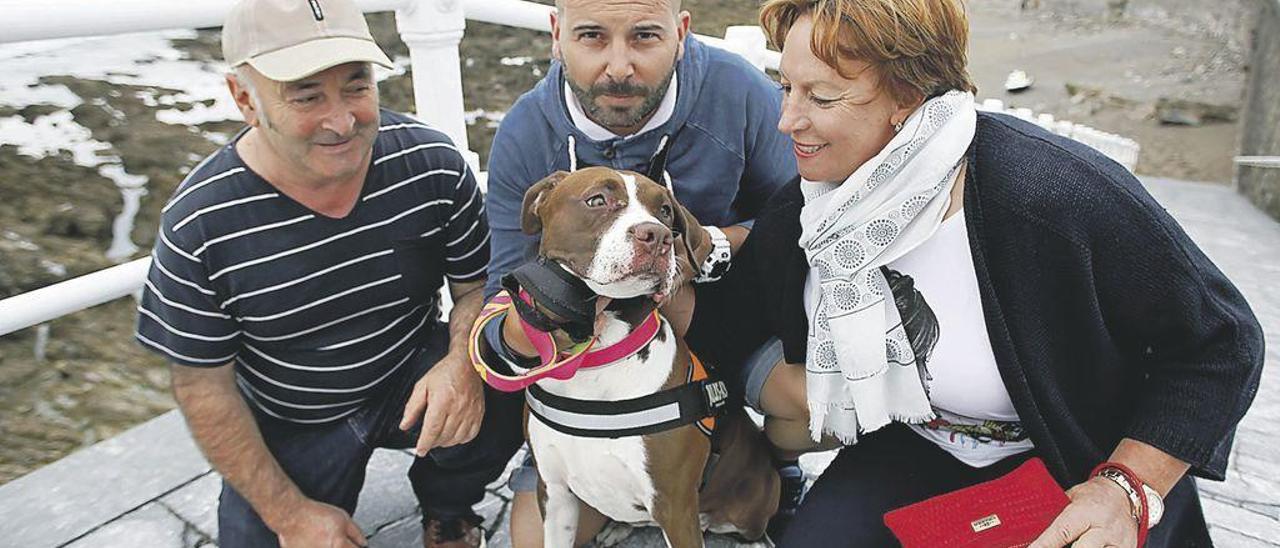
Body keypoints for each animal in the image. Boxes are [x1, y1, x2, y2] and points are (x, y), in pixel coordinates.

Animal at [517, 167, 778, 548]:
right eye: (597, 200)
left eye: (665, 210)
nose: (656, 236)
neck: (597, 362)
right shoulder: (554, 492)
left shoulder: (675, 507)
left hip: (754, 495)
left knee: (752, 525)